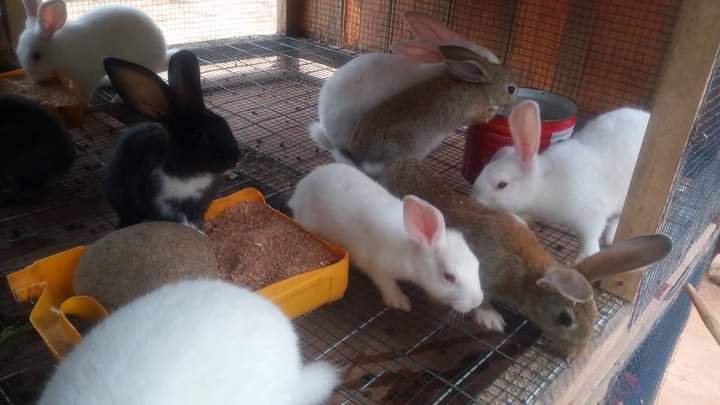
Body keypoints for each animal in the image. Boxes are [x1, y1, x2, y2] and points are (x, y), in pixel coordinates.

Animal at [16, 0, 168, 103]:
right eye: (17, 52)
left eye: (36, 56)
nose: (36, 80)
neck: (60, 51)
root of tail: (161, 58)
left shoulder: (88, 77)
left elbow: (85, 94)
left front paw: (82, 103)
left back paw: (116, 99)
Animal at [102, 49, 240, 230]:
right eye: (198, 135)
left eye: (224, 123)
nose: (235, 159)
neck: (194, 175)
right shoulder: (165, 204)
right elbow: (181, 221)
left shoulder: (201, 205)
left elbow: (196, 220)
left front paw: (200, 231)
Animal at [288, 162, 483, 313]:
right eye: (449, 277)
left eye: (476, 264)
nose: (477, 302)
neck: (410, 248)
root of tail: (302, 186)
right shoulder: (375, 265)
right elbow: (386, 283)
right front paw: (399, 301)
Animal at [379, 159, 672, 358]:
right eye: (565, 319)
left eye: (595, 313)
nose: (574, 355)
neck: (527, 276)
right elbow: (480, 300)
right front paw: (491, 319)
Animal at [471, 100, 651, 262]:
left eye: (502, 185)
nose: (476, 200)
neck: (545, 184)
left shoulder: (591, 215)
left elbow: (590, 238)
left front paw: (584, 257)